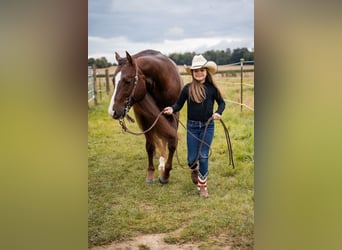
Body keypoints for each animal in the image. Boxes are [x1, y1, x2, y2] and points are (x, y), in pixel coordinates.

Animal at [109, 49, 184, 185]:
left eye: (127, 81)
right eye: (113, 81)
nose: (112, 111)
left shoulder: (173, 114)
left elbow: (171, 142)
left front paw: (165, 174)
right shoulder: (146, 118)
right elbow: (149, 146)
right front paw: (150, 174)